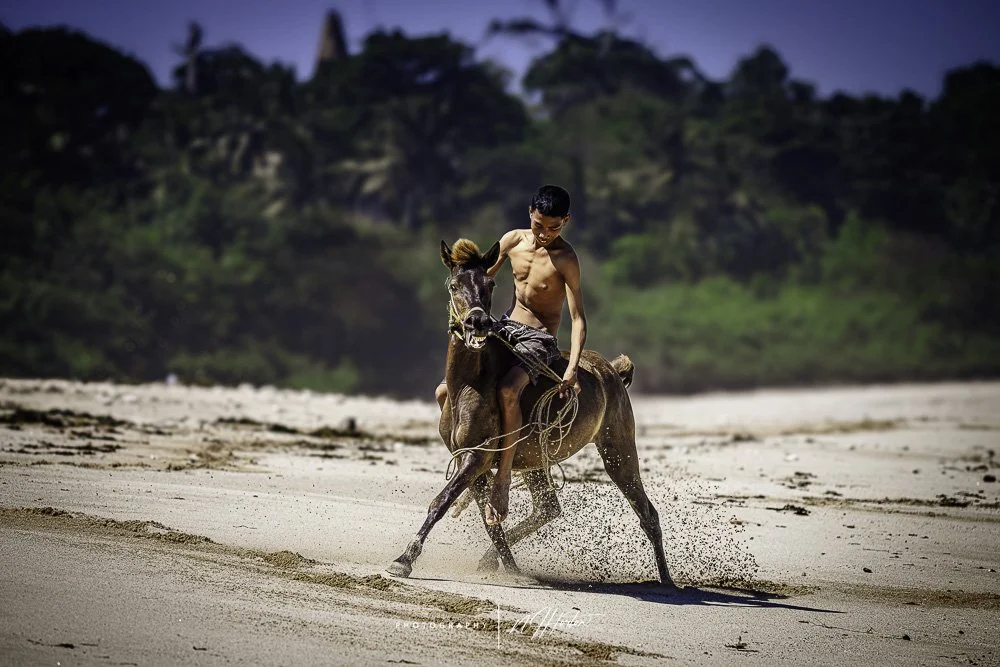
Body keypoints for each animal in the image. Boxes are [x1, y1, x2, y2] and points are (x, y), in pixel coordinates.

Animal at [386, 238, 675, 587]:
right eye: (454, 285)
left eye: (490, 284)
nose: (477, 322)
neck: (469, 384)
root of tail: (613, 371)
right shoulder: (469, 457)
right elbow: (490, 520)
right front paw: (510, 567)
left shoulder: (478, 455)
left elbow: (442, 502)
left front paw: (404, 559)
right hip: (535, 459)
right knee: (547, 508)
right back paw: (491, 559)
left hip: (618, 451)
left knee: (647, 513)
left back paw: (668, 583)